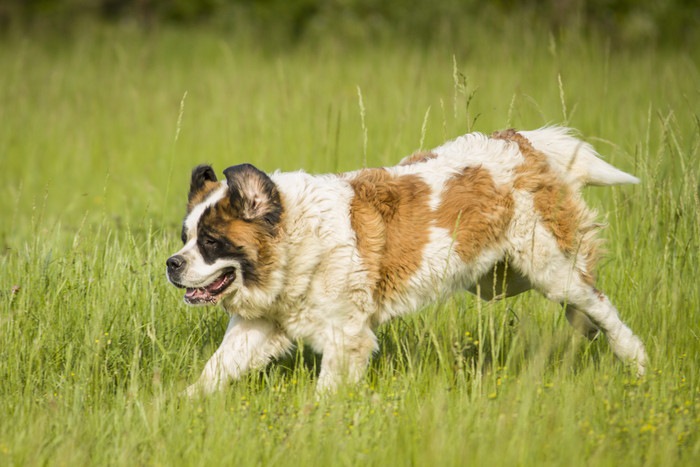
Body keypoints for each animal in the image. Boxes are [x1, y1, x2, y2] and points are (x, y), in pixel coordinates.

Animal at [167, 128, 648, 394]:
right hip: (501, 279)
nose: (172, 263)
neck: (295, 240)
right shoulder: (259, 326)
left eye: (210, 242)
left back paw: (636, 360)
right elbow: (215, 370)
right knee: (581, 304)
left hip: (547, 265)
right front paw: (179, 405)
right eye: (185, 238)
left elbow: (327, 389)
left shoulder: (346, 338)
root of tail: (519, 141)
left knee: (598, 301)